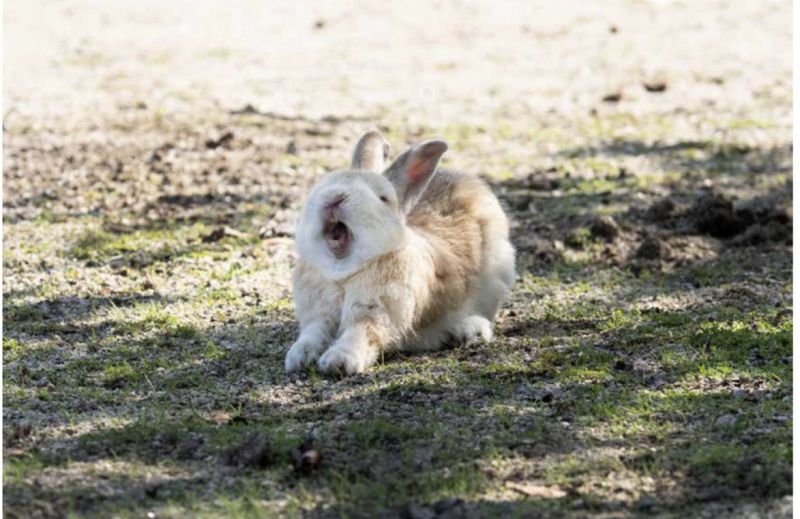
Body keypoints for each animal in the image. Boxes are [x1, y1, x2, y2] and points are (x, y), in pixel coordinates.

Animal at [284, 129, 516, 374]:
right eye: (326, 183)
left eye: (383, 198)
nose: (335, 197)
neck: (343, 273)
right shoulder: (319, 315)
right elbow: (313, 334)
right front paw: (298, 357)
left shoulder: (374, 312)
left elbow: (360, 333)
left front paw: (338, 362)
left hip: (496, 279)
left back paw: (468, 329)